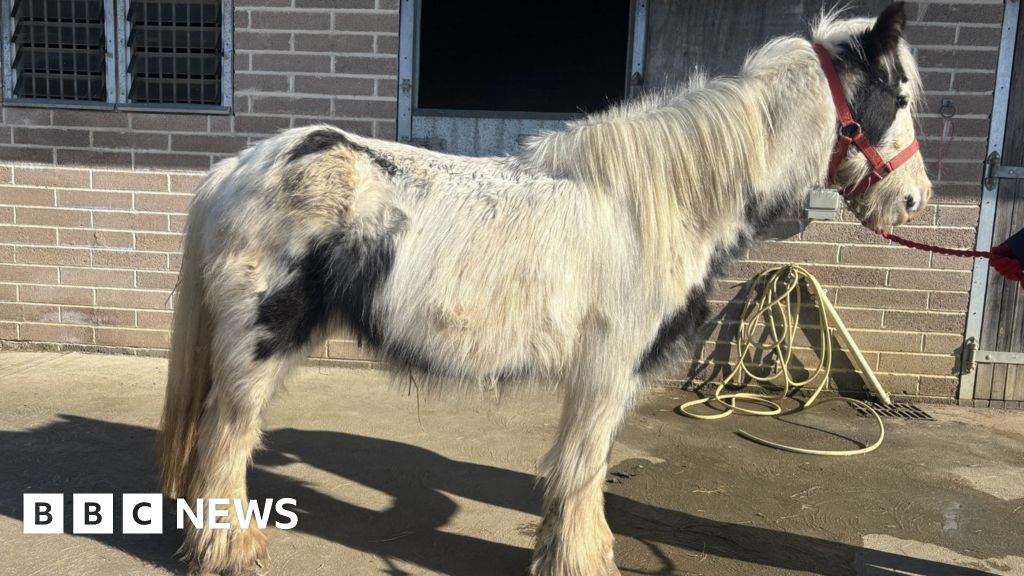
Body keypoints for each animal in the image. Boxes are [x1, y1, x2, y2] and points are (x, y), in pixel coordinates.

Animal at [159, 3, 931, 574]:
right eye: (898, 96)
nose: (915, 200)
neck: (659, 203)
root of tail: (234, 168)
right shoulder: (608, 370)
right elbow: (583, 469)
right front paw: (582, 560)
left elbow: (581, 470)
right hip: (260, 344)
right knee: (228, 439)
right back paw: (230, 551)